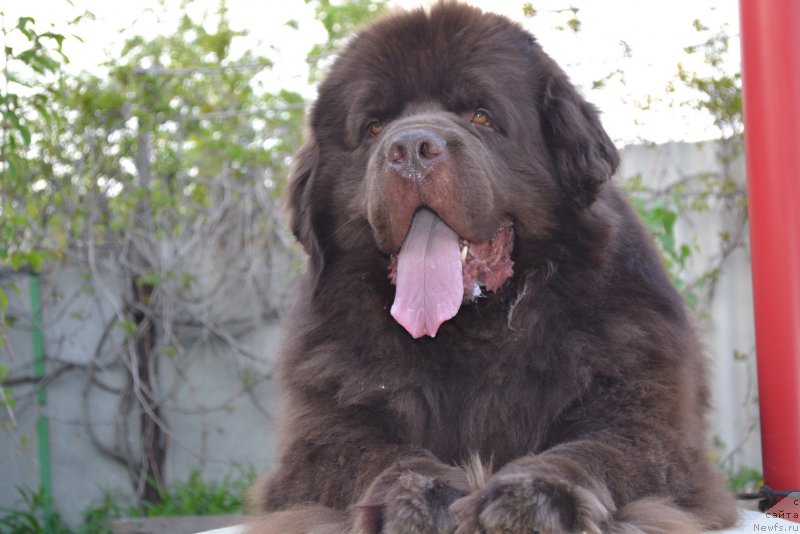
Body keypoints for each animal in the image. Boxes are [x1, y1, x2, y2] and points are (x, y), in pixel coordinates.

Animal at [250, 2, 736, 532]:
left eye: (479, 115)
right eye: (374, 126)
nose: (411, 149)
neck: (470, 331)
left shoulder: (645, 416)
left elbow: (594, 451)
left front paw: (535, 497)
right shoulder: (321, 439)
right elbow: (380, 457)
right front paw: (421, 498)